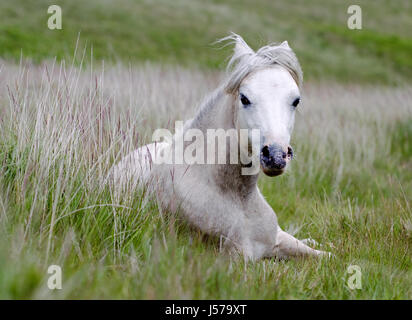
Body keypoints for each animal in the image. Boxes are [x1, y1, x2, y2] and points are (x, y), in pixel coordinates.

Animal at [111, 34, 330, 260]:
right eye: (244, 98)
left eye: (296, 101)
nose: (276, 156)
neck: (237, 198)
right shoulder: (235, 255)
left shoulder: (277, 240)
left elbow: (326, 255)